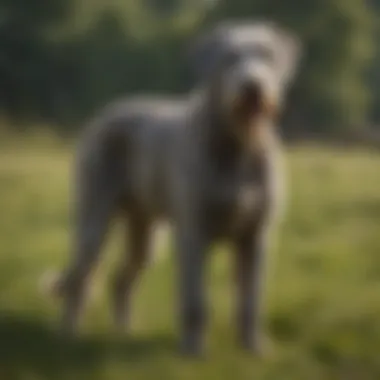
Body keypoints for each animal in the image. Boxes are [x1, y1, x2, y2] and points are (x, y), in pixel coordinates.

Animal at [46, 20, 302, 356]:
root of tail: (106, 112)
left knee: (120, 279)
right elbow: (195, 299)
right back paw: (68, 332)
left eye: (267, 55)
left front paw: (254, 347)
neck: (238, 145)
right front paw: (193, 349)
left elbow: (251, 299)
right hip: (93, 215)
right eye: (229, 59)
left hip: (147, 233)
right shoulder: (193, 230)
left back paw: (125, 332)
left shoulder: (257, 235)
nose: (252, 87)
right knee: (80, 275)